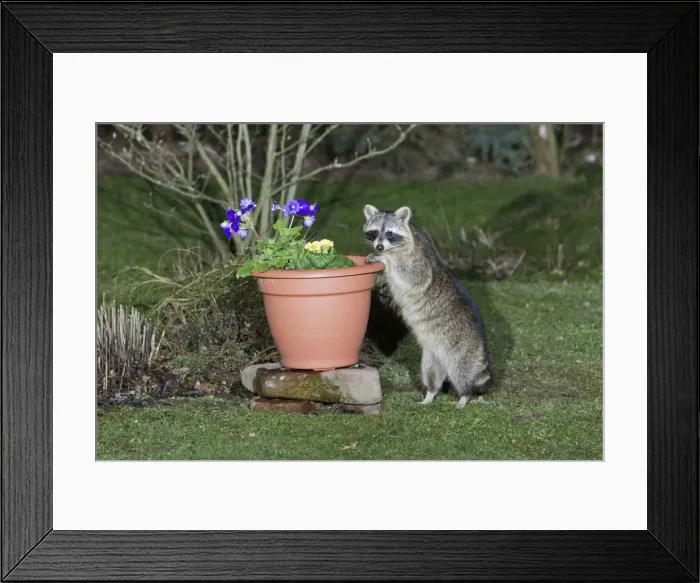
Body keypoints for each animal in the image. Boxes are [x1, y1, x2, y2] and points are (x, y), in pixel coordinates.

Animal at [363, 204, 492, 408]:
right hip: (432, 356)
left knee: (462, 373)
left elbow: (411, 275)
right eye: (375, 232)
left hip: (462, 349)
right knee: (431, 374)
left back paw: (464, 396)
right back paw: (430, 394)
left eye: (390, 233)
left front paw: (385, 259)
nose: (379, 247)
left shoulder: (419, 261)